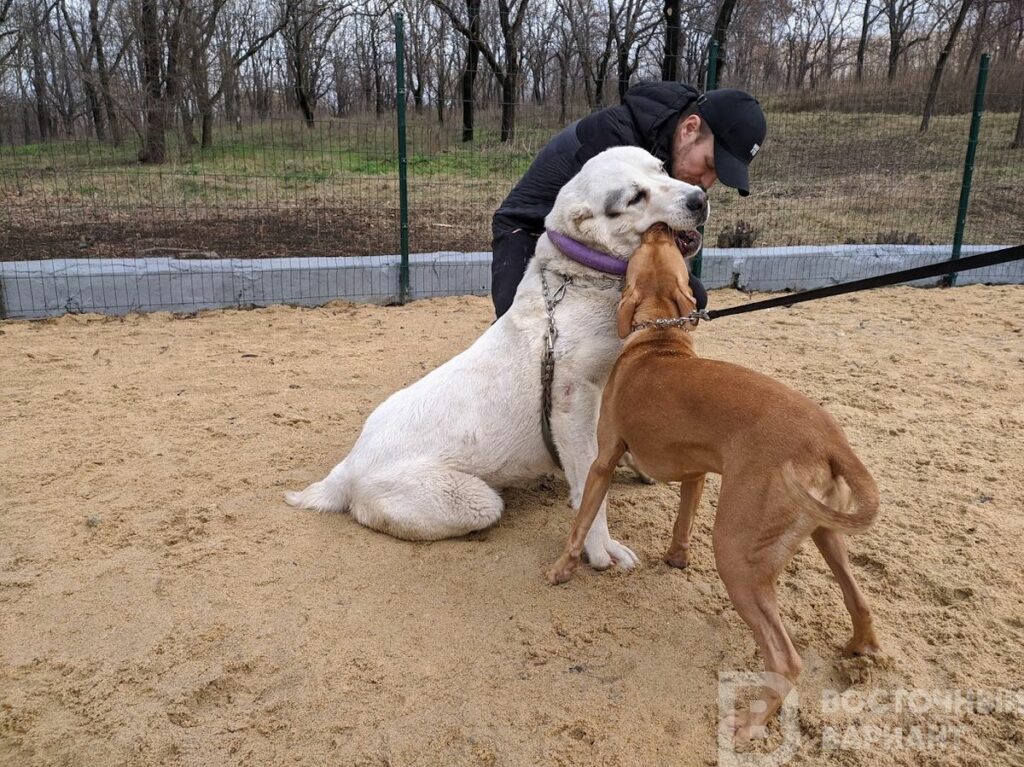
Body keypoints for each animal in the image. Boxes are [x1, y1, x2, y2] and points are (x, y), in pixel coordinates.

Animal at [284, 148, 708, 569]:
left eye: (662, 169)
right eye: (635, 197)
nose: (699, 198)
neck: (580, 278)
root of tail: (347, 467)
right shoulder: (572, 408)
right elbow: (591, 490)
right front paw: (600, 548)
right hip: (474, 501)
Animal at [548, 224, 884, 737]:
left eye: (648, 248)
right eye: (661, 247)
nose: (661, 228)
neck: (658, 339)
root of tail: (830, 438)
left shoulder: (603, 460)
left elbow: (581, 522)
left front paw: (562, 570)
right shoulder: (698, 473)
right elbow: (682, 523)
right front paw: (676, 559)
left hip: (736, 554)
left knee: (786, 660)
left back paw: (749, 721)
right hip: (826, 533)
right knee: (860, 600)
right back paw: (861, 649)